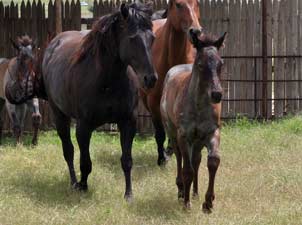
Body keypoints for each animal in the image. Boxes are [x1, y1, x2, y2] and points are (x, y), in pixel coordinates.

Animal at [5, 2, 157, 200]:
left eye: (152, 38)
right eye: (132, 39)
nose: (150, 79)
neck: (107, 82)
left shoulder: (128, 123)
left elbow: (127, 160)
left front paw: (129, 194)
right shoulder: (84, 127)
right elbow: (85, 161)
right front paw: (83, 186)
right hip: (60, 115)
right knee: (68, 151)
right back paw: (73, 182)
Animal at [140, 0, 202, 165]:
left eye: (197, 3)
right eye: (179, 5)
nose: (195, 32)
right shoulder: (154, 102)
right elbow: (160, 133)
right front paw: (162, 158)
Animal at [159, 30, 225, 213]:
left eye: (221, 64)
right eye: (201, 64)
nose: (217, 94)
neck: (199, 106)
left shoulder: (212, 132)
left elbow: (213, 161)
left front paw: (208, 202)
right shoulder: (184, 135)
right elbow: (187, 169)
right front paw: (186, 203)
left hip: (198, 141)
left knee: (196, 160)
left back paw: (195, 192)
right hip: (173, 133)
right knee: (180, 157)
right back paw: (182, 191)